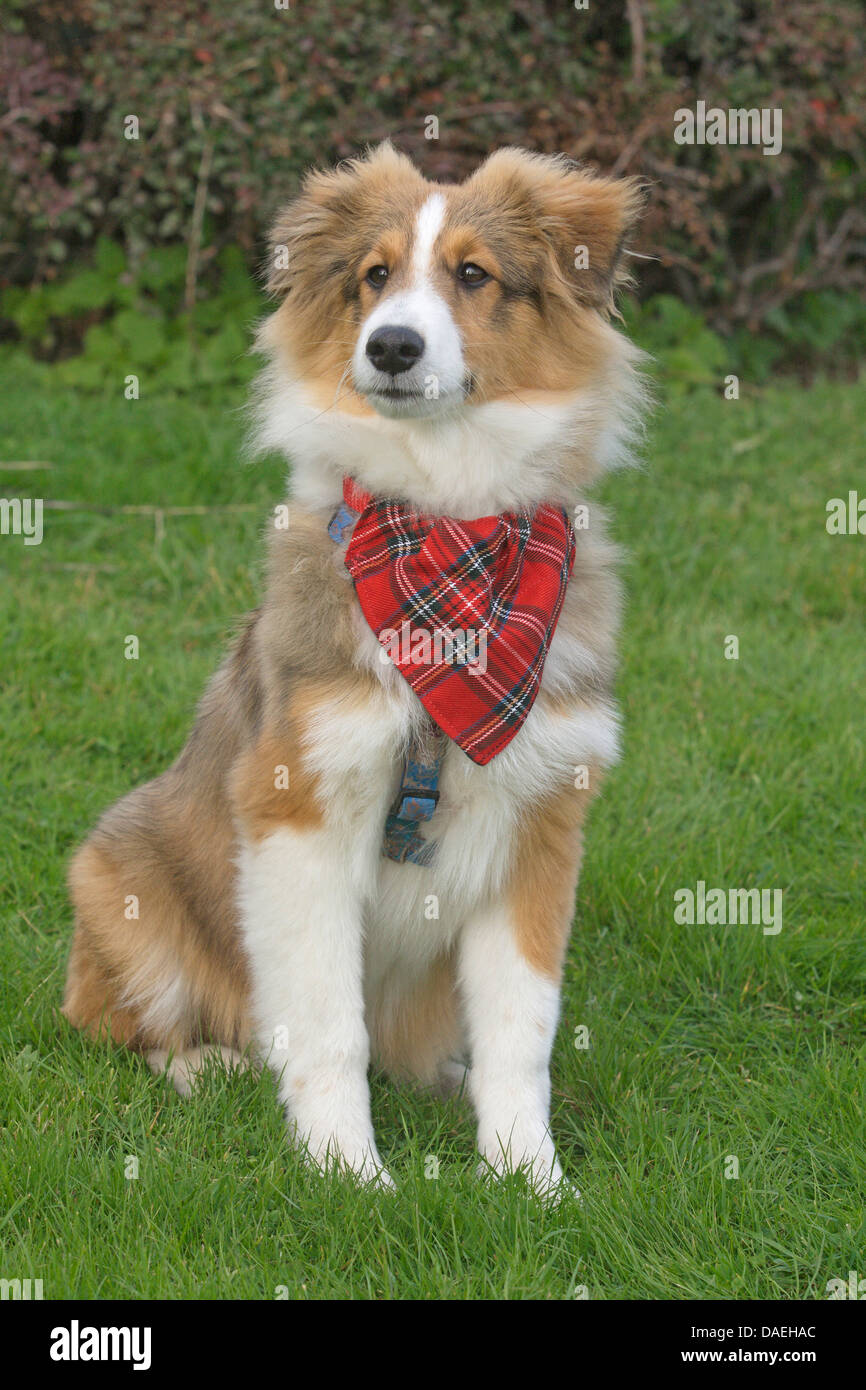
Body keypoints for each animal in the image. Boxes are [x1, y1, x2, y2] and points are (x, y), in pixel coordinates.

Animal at [64, 143, 647, 1195]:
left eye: (473, 274)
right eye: (374, 276)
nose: (392, 349)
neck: (446, 535)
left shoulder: (542, 825)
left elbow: (523, 1030)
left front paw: (531, 1179)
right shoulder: (300, 807)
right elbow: (327, 1025)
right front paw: (345, 1175)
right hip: (115, 876)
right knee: (119, 1027)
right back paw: (206, 1066)